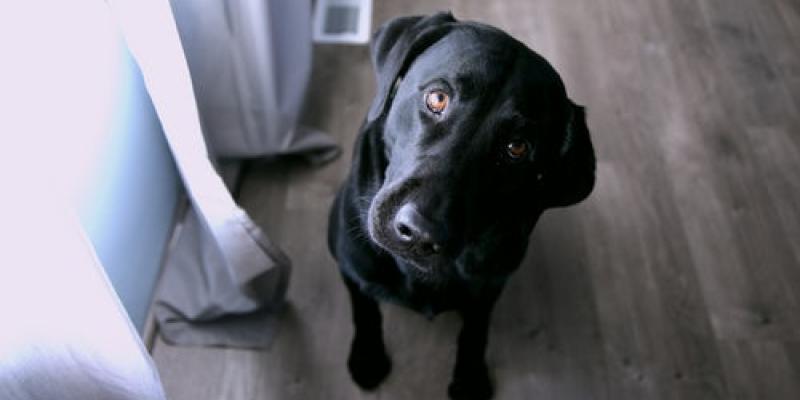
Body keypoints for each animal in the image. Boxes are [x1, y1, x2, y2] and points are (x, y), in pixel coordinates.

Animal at [324, 12, 592, 400]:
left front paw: (469, 377)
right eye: (437, 98)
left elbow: (475, 330)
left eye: (517, 148)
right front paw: (368, 356)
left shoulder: (490, 286)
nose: (419, 232)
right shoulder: (351, 265)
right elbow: (365, 309)